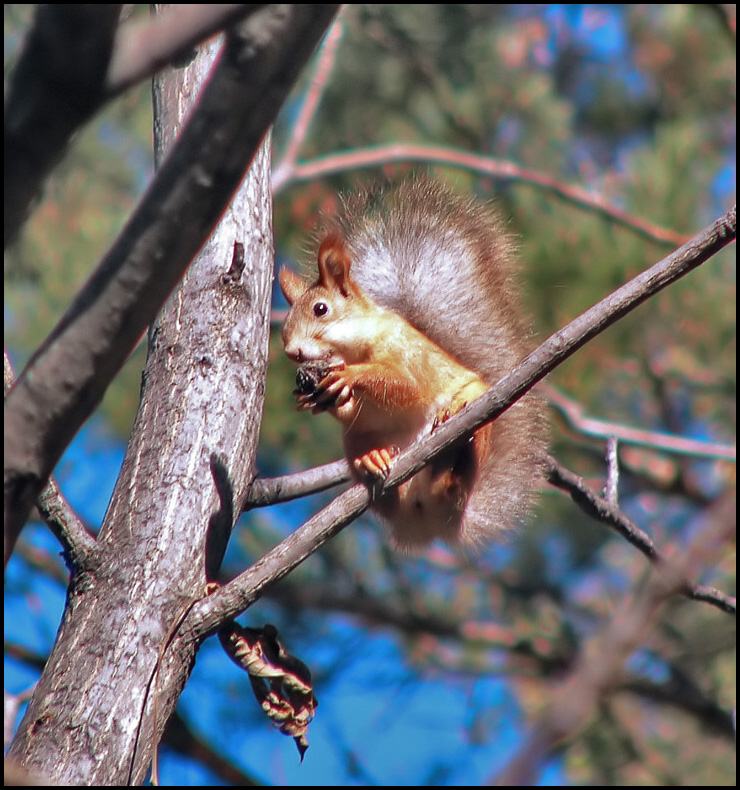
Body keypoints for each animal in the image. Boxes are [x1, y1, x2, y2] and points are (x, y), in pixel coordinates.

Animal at [280, 177, 548, 552]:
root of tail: (432, 524)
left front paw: (351, 376)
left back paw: (454, 462)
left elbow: (406, 387)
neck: (357, 345)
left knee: (458, 478)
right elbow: (353, 409)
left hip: (479, 414)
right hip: (356, 443)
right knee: (387, 497)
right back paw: (373, 460)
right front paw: (318, 396)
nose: (292, 352)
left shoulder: (408, 354)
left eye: (321, 309)